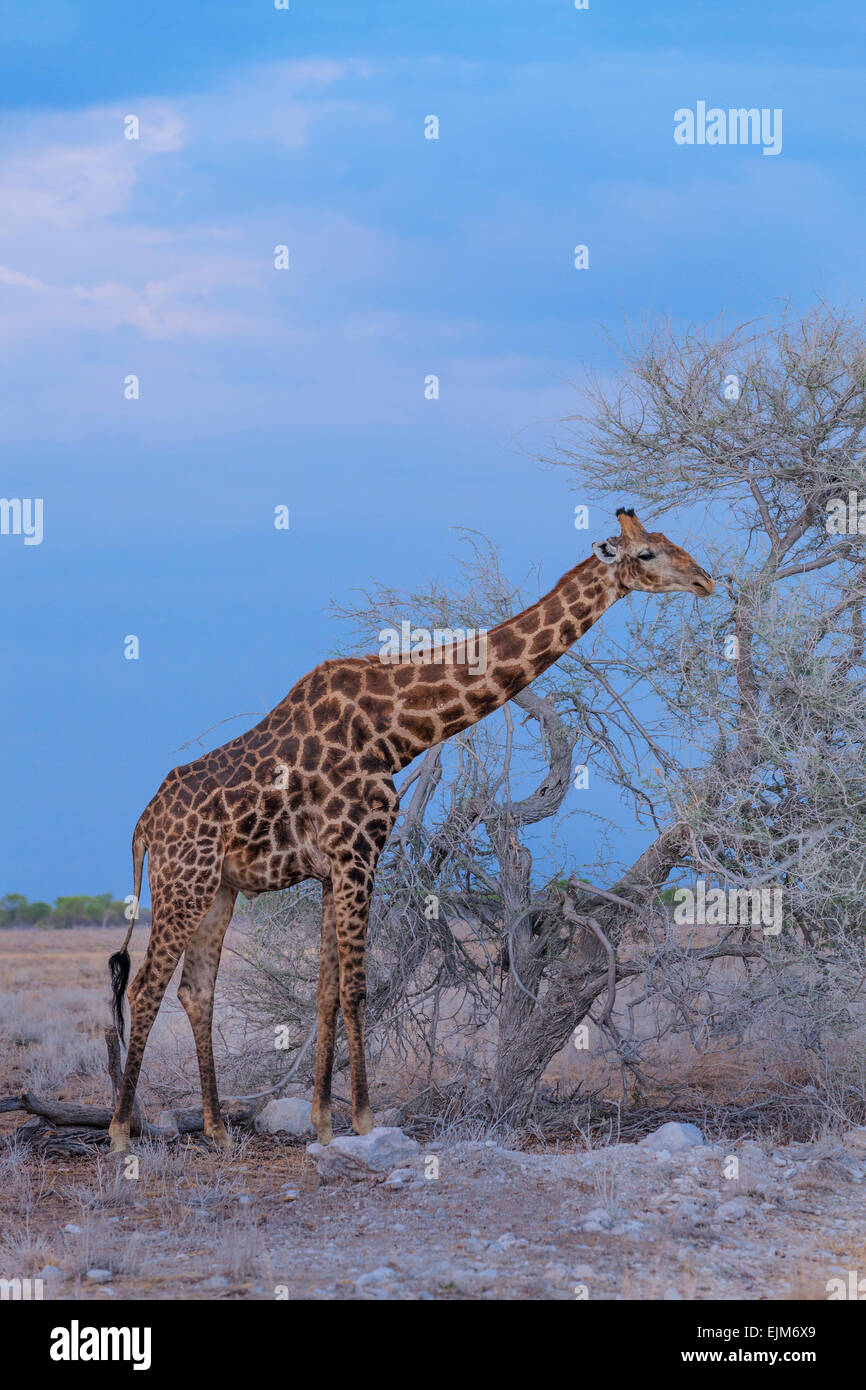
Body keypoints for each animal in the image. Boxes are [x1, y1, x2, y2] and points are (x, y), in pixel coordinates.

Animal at [108, 511, 717, 1150]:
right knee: (146, 985)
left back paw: (218, 1130)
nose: (705, 581)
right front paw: (364, 1120)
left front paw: (324, 1124)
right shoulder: (358, 851)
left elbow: (326, 991)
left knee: (194, 988)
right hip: (185, 880)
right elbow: (355, 988)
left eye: (670, 542)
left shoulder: (334, 867)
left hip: (219, 889)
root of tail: (143, 825)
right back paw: (122, 1131)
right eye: (647, 554)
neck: (394, 730)